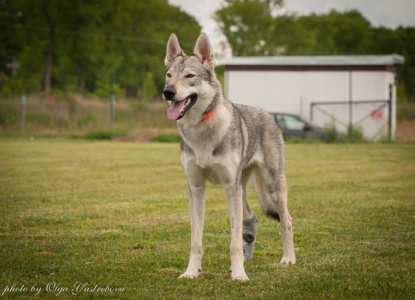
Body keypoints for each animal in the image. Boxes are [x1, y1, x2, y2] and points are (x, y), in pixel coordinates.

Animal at [162, 32, 296, 282]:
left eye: (189, 76)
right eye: (169, 76)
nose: (168, 92)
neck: (202, 129)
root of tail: (268, 114)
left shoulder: (229, 187)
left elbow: (233, 242)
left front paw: (239, 275)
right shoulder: (196, 188)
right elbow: (196, 241)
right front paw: (191, 272)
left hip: (270, 187)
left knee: (287, 220)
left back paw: (288, 258)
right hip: (241, 189)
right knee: (251, 219)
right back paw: (246, 258)